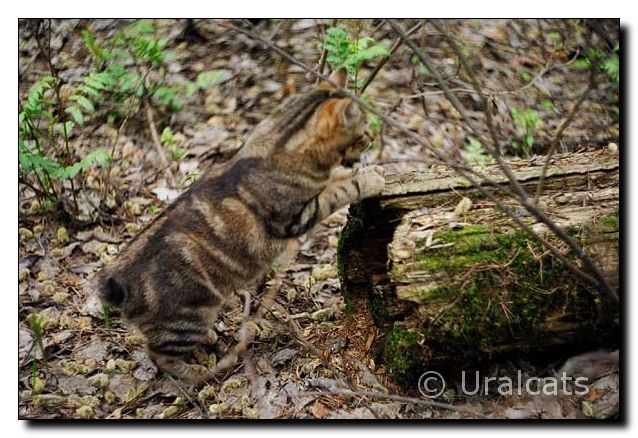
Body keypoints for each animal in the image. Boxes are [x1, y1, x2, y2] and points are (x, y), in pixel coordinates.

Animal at [94, 69, 384, 384]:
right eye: (364, 132)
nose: (374, 137)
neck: (279, 142)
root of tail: (117, 281)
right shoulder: (295, 217)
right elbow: (338, 191)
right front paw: (369, 178)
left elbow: (336, 180)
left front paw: (360, 171)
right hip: (188, 319)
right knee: (158, 354)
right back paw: (195, 371)